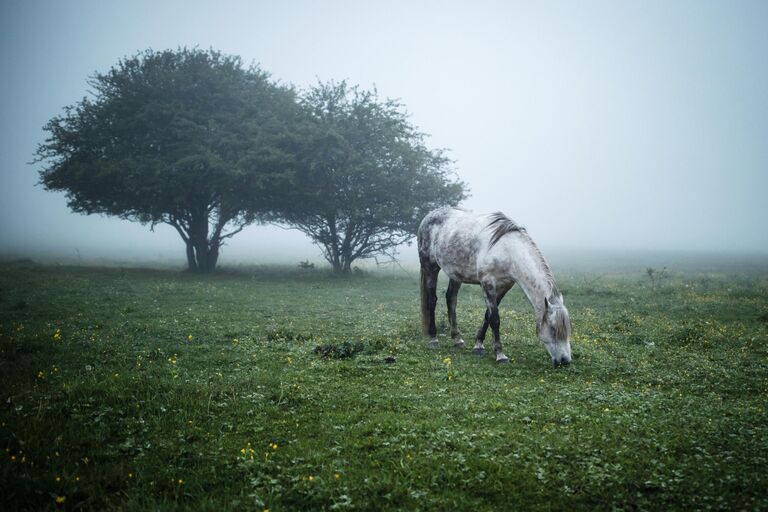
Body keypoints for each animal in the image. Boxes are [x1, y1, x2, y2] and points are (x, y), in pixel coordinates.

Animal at [416, 208, 572, 368]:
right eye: (553, 330)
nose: (565, 361)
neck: (507, 249)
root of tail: (428, 216)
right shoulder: (488, 283)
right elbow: (495, 319)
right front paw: (500, 355)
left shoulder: (504, 286)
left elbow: (488, 315)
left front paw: (478, 345)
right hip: (430, 267)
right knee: (432, 300)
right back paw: (433, 338)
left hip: (456, 274)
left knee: (451, 300)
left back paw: (457, 339)